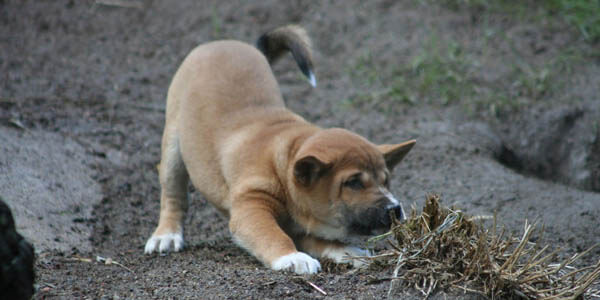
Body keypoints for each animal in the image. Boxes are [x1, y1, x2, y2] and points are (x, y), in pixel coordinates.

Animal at [145, 25, 418, 274]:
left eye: (386, 181)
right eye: (353, 183)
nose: (395, 209)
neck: (283, 163)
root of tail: (224, 43)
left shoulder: (302, 227)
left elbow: (327, 242)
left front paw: (351, 252)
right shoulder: (251, 208)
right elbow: (273, 236)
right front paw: (293, 258)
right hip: (173, 149)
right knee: (173, 196)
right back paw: (166, 236)